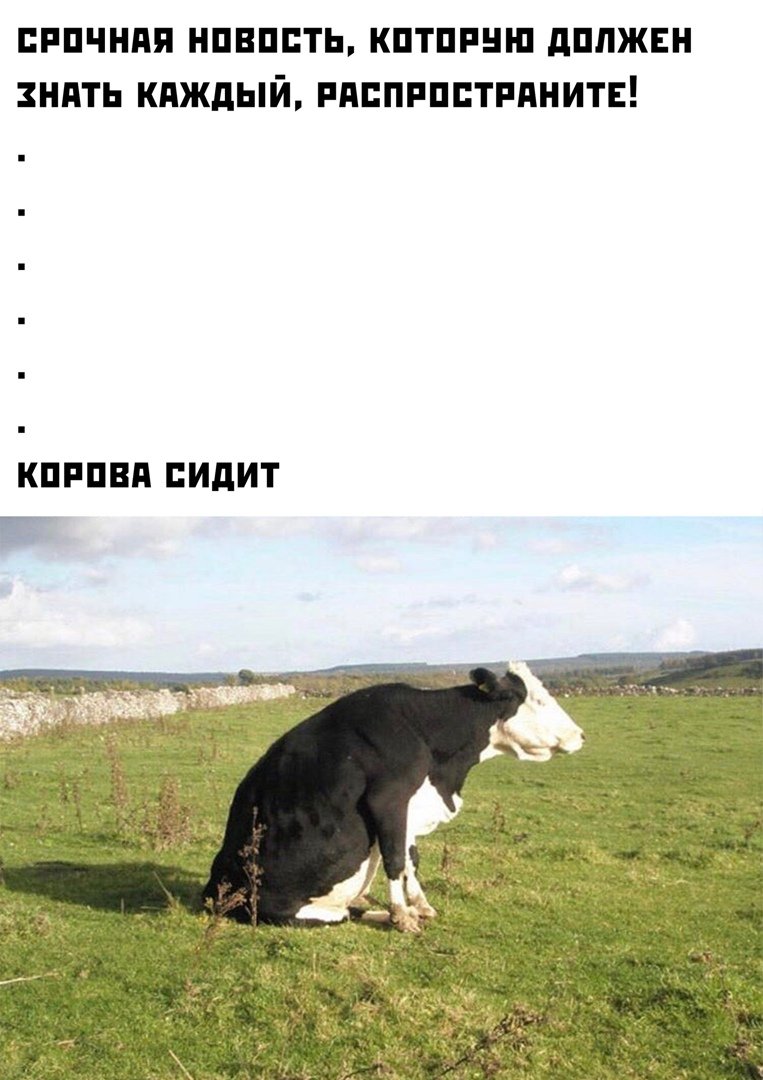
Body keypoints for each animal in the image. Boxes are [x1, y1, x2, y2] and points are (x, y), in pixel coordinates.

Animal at [203, 661, 584, 932]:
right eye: (539, 700)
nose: (580, 735)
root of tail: (214, 888)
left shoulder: (410, 807)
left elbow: (411, 856)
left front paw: (420, 905)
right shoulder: (388, 799)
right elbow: (395, 858)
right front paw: (402, 915)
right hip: (293, 911)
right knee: (344, 914)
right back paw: (383, 914)